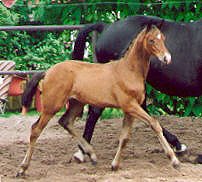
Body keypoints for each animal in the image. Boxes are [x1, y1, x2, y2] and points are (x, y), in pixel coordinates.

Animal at [17, 24, 178, 176]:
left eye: (163, 38)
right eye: (151, 40)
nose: (167, 58)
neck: (128, 71)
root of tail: (48, 71)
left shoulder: (130, 110)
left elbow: (124, 137)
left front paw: (114, 165)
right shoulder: (130, 106)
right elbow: (154, 124)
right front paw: (174, 160)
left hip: (76, 103)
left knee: (65, 122)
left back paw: (92, 155)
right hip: (52, 106)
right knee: (35, 130)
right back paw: (22, 168)